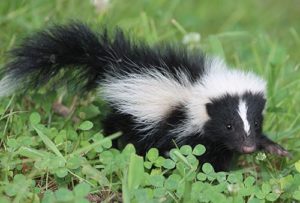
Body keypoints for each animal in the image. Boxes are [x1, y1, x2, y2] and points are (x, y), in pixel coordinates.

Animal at [0, 21, 290, 171]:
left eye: (255, 123)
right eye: (228, 125)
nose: (248, 146)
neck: (195, 86)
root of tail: (113, 60)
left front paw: (275, 147)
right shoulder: (177, 125)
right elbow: (183, 150)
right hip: (126, 117)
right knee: (116, 130)